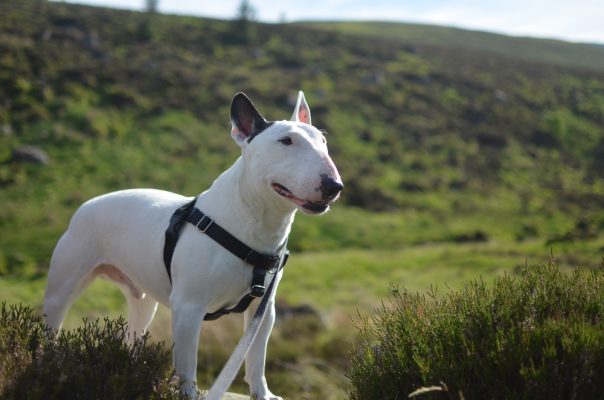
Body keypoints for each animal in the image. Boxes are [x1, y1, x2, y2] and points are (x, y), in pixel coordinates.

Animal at [43, 92, 342, 398]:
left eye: (323, 140)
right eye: (286, 141)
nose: (334, 186)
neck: (252, 222)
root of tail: (86, 204)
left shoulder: (263, 309)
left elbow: (256, 357)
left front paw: (261, 392)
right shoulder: (188, 307)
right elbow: (187, 364)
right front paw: (188, 392)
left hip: (143, 302)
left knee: (133, 334)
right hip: (64, 286)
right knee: (50, 327)